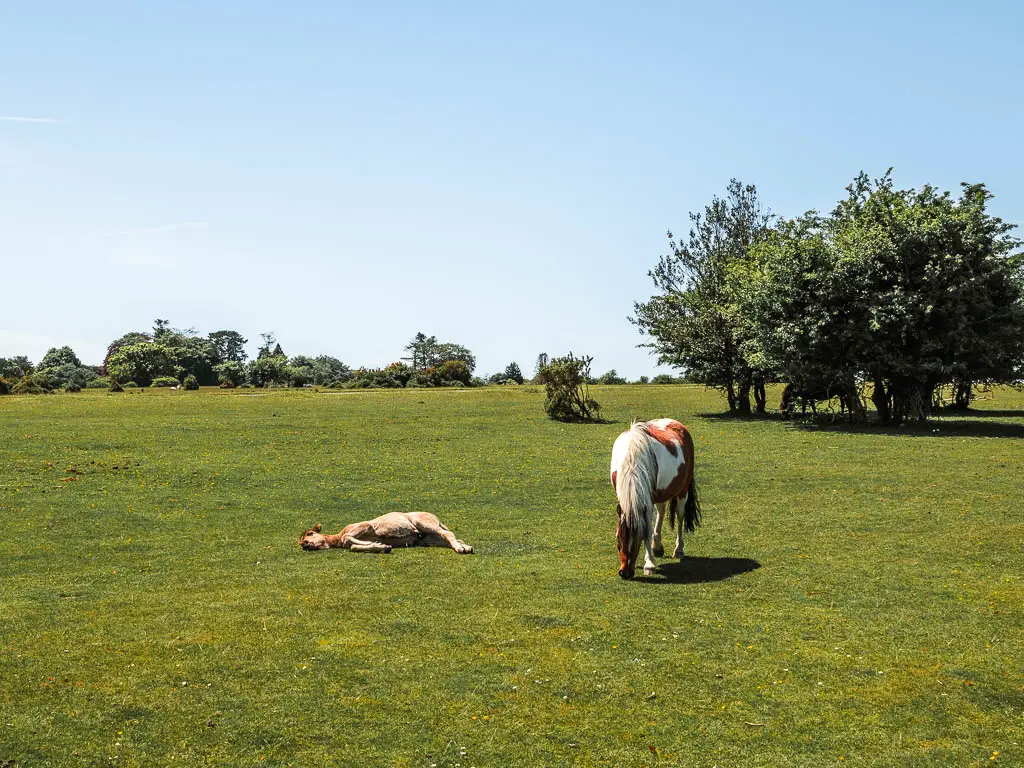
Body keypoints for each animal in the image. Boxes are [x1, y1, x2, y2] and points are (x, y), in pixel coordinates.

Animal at [610, 421, 700, 577]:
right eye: (618, 540)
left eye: (638, 538)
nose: (625, 573)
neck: (632, 460)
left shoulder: (647, 502)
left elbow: (648, 529)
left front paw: (649, 564)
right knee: (662, 511)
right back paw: (657, 546)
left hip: (682, 491)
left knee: (680, 515)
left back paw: (679, 550)